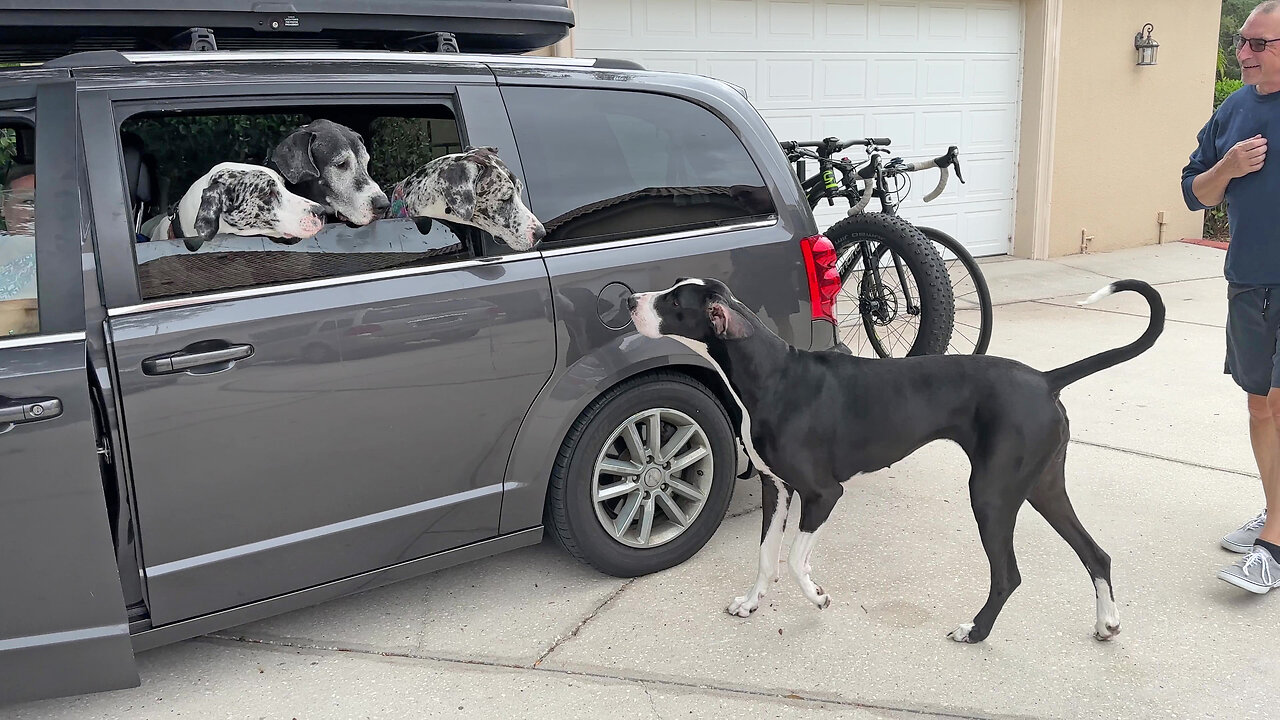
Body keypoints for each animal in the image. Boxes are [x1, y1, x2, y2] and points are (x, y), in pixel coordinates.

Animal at [624, 274, 1167, 638]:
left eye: (674, 300)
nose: (629, 299)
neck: (772, 376)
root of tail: (1044, 378)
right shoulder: (775, 488)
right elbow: (765, 556)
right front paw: (751, 603)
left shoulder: (823, 493)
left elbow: (796, 558)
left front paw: (817, 598)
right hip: (1042, 487)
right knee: (1095, 553)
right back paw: (1107, 622)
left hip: (991, 495)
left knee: (1009, 575)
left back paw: (975, 631)